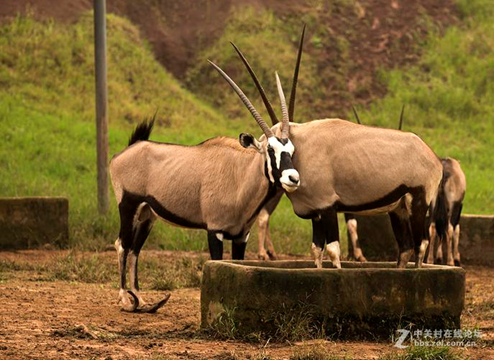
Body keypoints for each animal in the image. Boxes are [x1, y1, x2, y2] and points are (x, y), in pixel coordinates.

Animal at [110, 63, 300, 310]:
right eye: (270, 149)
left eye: (292, 150)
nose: (293, 178)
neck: (240, 175)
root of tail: (127, 151)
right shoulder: (215, 231)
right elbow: (217, 263)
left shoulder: (241, 235)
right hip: (128, 205)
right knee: (122, 245)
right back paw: (125, 299)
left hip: (147, 215)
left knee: (134, 250)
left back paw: (141, 299)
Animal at [232, 26, 444, 268]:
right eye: (270, 150)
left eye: (290, 150)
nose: (293, 178)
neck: (303, 148)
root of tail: (432, 157)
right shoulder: (315, 213)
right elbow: (316, 250)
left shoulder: (328, 208)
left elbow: (333, 251)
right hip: (398, 209)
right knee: (406, 248)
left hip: (419, 204)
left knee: (421, 245)